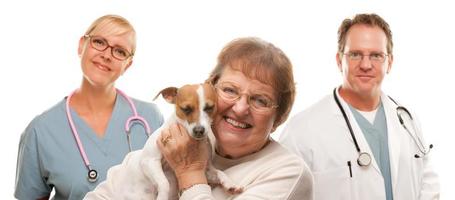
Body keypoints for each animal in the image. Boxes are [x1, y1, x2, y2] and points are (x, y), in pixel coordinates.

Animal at [86, 83, 242, 200]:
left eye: (209, 107)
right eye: (186, 109)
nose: (199, 130)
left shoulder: (206, 170)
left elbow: (219, 173)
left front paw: (230, 183)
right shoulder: (150, 161)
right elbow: (164, 182)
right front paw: (162, 196)